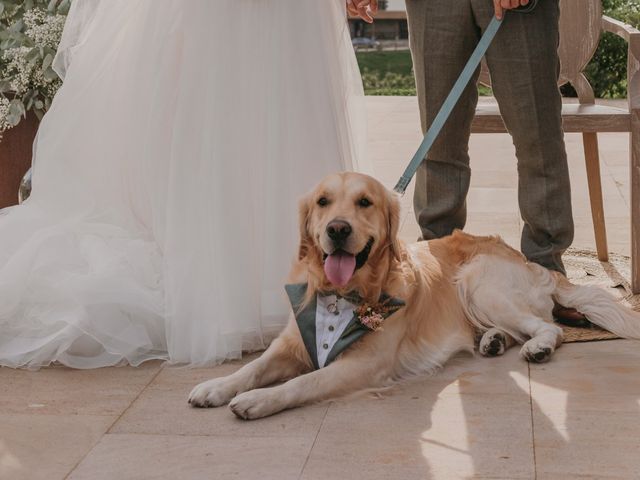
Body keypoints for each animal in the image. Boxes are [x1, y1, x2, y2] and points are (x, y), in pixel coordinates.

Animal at [188, 171, 640, 418]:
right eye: (322, 202)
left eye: (364, 202)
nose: (337, 229)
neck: (342, 293)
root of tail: (532, 262)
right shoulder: (292, 341)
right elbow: (253, 366)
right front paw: (217, 386)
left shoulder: (365, 365)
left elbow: (303, 382)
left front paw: (257, 400)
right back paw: (493, 340)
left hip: (479, 282)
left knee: (549, 327)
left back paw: (537, 347)